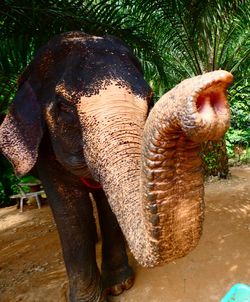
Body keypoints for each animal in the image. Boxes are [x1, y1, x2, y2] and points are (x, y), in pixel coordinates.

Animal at [0, 31, 232, 302]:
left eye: (150, 98)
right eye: (64, 106)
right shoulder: (44, 153)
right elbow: (70, 211)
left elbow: (107, 204)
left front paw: (120, 286)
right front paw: (87, 299)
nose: (212, 89)